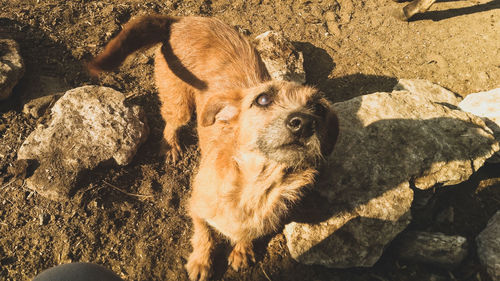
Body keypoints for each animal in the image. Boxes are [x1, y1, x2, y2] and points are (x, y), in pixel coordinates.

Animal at [89, 15, 340, 280]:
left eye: (319, 108)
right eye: (262, 99)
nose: (304, 122)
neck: (253, 187)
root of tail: (181, 20)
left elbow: (247, 234)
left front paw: (242, 250)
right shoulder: (196, 208)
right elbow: (204, 235)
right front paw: (201, 262)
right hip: (179, 103)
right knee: (171, 123)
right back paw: (171, 146)